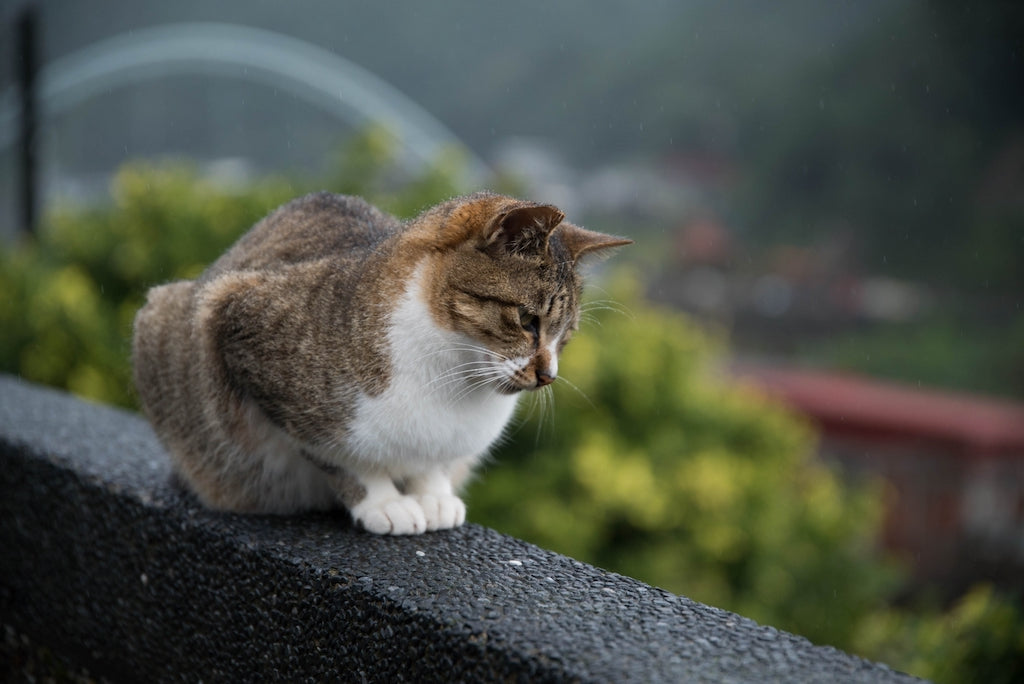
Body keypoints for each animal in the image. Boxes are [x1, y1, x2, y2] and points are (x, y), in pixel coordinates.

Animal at [134, 191, 630, 532]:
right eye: (528, 321)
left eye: (566, 336)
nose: (548, 376)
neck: (451, 377)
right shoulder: (239, 326)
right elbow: (342, 457)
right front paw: (384, 502)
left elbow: (430, 460)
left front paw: (433, 495)